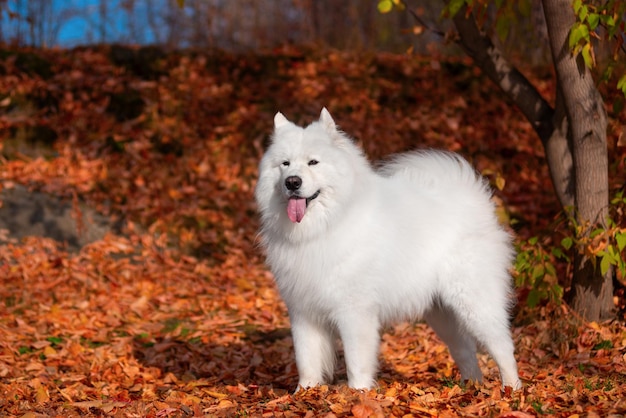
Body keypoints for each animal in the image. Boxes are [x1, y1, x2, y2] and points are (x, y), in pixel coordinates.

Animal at [254, 108, 520, 392]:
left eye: (313, 162)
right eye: (285, 164)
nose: (292, 182)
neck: (324, 226)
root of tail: (473, 198)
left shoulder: (354, 312)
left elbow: (356, 361)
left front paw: (357, 393)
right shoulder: (303, 311)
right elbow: (307, 360)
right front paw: (305, 393)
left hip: (474, 303)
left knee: (502, 347)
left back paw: (511, 390)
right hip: (442, 313)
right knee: (466, 350)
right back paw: (469, 387)